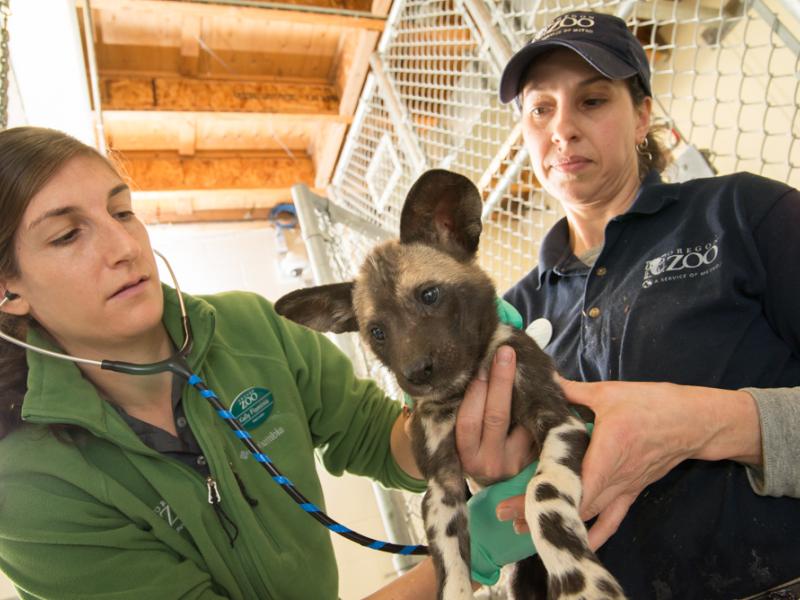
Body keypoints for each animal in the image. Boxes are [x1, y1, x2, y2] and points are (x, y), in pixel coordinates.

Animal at [276, 170, 624, 600]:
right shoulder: (441, 487)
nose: (416, 373)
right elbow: (449, 567)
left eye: (429, 295)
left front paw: (581, 583)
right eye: (377, 333)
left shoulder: (561, 420)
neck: (463, 390)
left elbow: (539, 492)